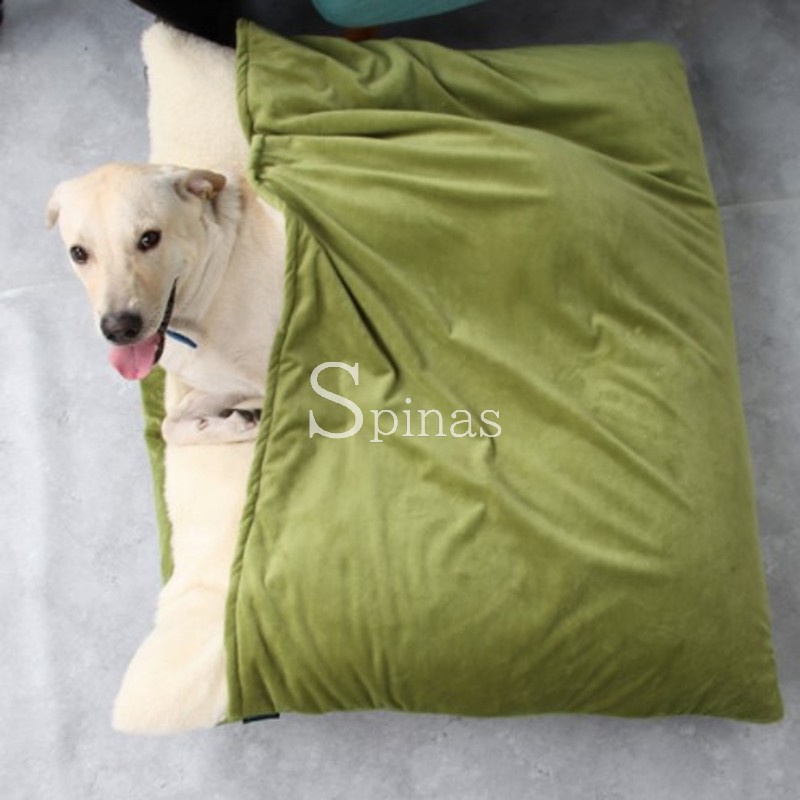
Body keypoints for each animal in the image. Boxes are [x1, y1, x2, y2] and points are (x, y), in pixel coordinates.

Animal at [46, 161, 286, 445]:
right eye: (78, 253)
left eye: (149, 238)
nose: (119, 329)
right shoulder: (225, 383)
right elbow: (168, 425)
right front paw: (238, 422)